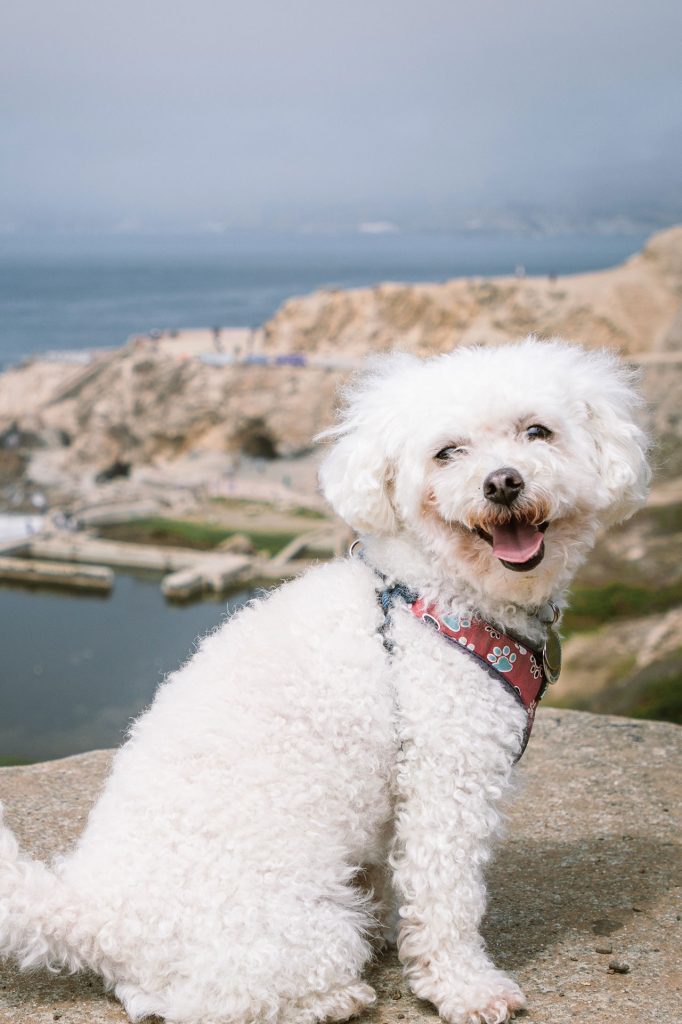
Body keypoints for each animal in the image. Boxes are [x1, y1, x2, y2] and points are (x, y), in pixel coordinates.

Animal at [0, 337, 647, 1024]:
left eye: (537, 432)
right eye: (448, 451)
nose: (502, 482)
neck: (437, 594)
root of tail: (90, 915)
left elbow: (398, 874)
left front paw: (398, 935)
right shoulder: (449, 776)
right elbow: (446, 896)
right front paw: (465, 985)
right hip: (300, 924)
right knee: (212, 999)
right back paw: (334, 996)